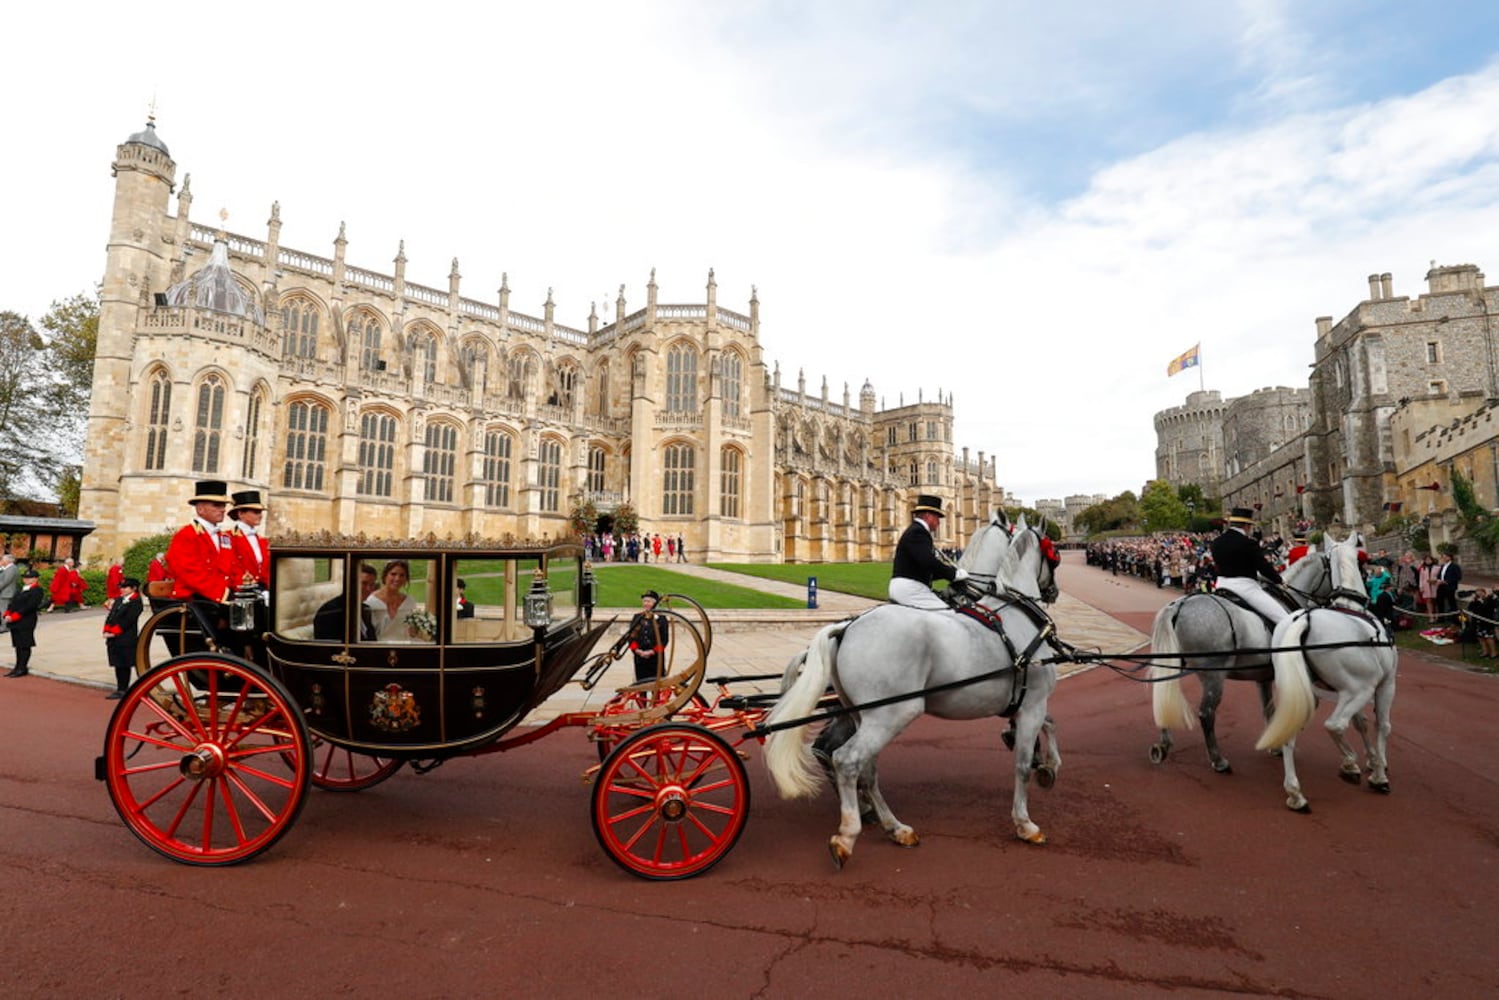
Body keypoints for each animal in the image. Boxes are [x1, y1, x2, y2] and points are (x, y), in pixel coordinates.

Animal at [761, 515, 1067, 869]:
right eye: (1054, 552)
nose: (1054, 591)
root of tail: (845, 627)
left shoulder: (1023, 701)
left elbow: (1048, 724)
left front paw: (1044, 763)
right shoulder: (1032, 702)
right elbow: (1021, 763)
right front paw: (1026, 820)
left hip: (864, 715)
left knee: (860, 766)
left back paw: (893, 826)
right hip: (892, 713)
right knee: (845, 760)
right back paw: (848, 833)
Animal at [1151, 542, 1343, 773]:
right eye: (1335, 568)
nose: (1342, 599)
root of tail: (1179, 606)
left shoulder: (1263, 678)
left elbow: (1269, 710)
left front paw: (1275, 745)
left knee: (1163, 698)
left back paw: (1163, 746)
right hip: (1213, 677)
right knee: (1206, 713)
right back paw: (1218, 760)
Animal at [1253, 536, 1391, 809]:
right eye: (1364, 560)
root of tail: (1304, 620)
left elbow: (1361, 723)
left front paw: (1371, 760)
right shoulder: (1384, 684)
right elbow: (1381, 724)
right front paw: (1378, 772)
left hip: (1300, 693)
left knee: (1290, 728)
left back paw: (1295, 793)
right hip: (1360, 689)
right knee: (1334, 725)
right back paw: (1349, 764)